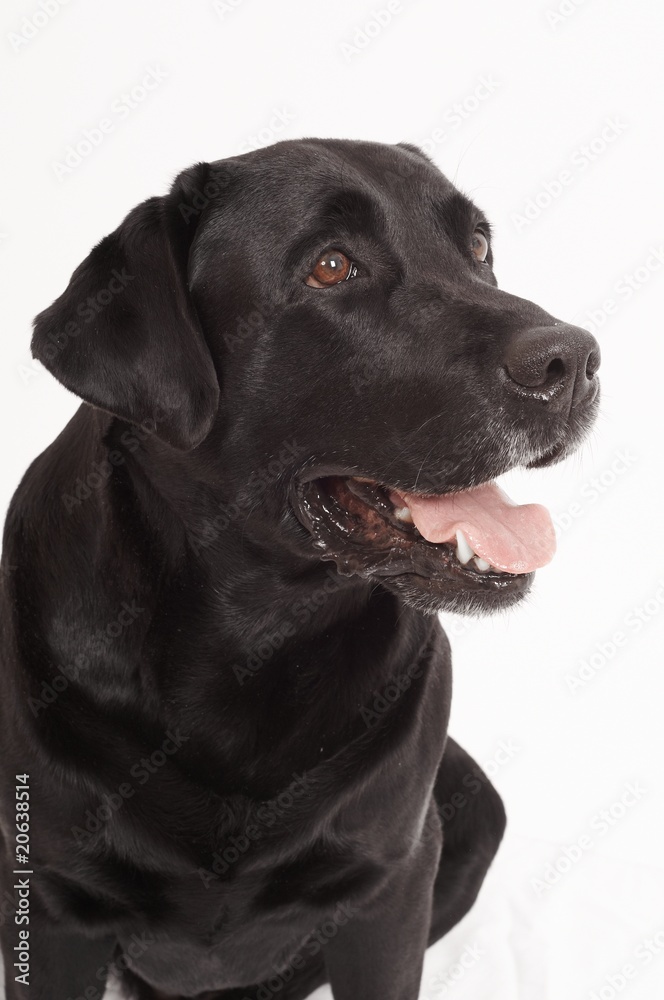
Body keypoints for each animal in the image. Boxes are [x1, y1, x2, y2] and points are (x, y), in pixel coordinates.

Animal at [0, 141, 600, 1000]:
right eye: (331, 266)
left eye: (478, 246)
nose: (575, 359)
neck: (255, 636)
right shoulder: (51, 905)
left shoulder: (390, 884)